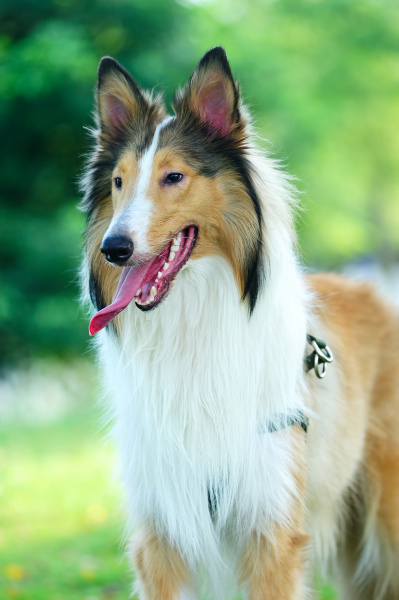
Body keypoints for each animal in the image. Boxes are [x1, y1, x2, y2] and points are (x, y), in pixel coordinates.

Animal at [81, 48, 399, 600]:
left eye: (173, 177)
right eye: (118, 182)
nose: (113, 249)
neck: (191, 325)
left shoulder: (270, 527)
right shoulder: (162, 533)